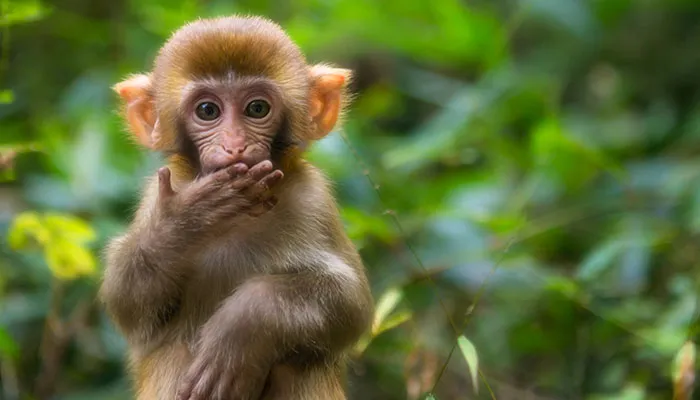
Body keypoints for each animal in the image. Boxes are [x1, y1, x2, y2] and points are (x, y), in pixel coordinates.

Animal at [100, 14, 374, 398]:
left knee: (300, 366)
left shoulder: (314, 199)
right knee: (174, 351)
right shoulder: (156, 195)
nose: (234, 145)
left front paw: (241, 328)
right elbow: (128, 302)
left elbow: (351, 302)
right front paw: (188, 219)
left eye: (257, 108)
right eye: (207, 111)